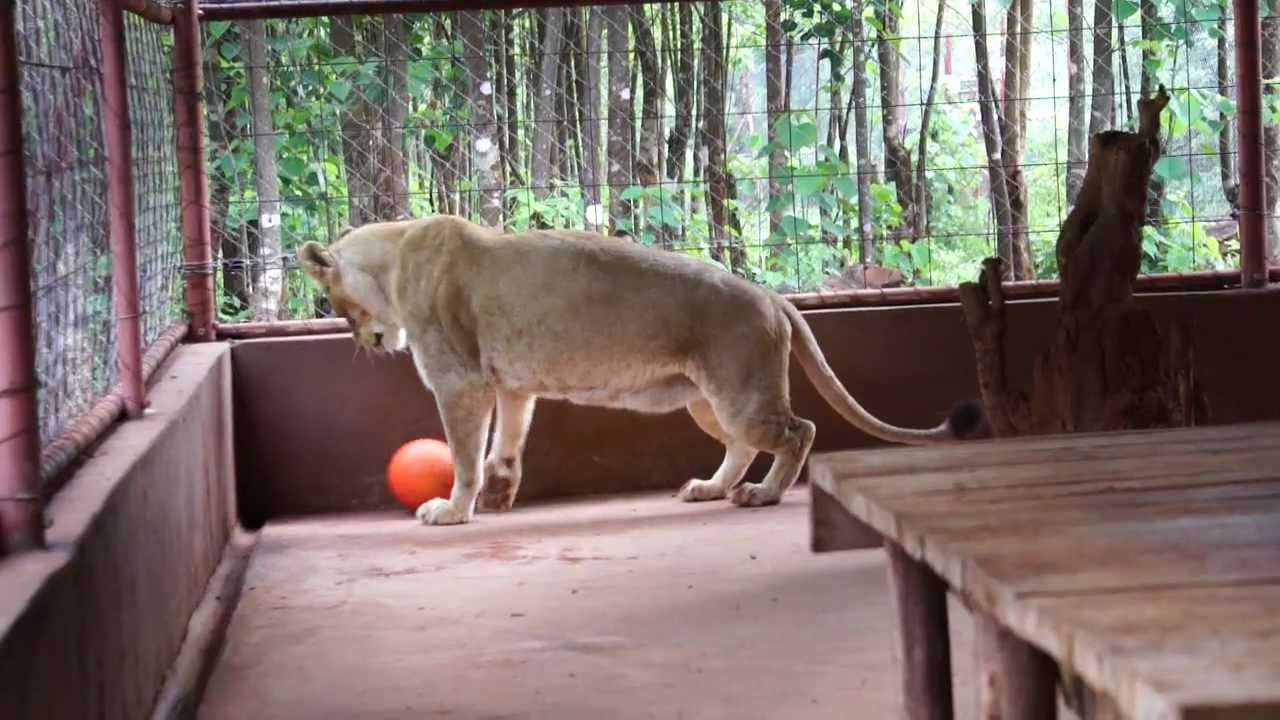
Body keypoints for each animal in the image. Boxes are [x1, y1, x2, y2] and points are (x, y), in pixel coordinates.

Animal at [298, 215, 980, 526]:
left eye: (334, 302)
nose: (364, 340)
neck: (396, 253)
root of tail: (771, 296)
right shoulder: (511, 385)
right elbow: (506, 445)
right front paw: (499, 494)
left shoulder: (459, 383)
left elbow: (464, 455)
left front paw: (453, 509)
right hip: (707, 400)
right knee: (742, 445)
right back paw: (711, 487)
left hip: (739, 395)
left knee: (798, 431)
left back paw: (762, 494)